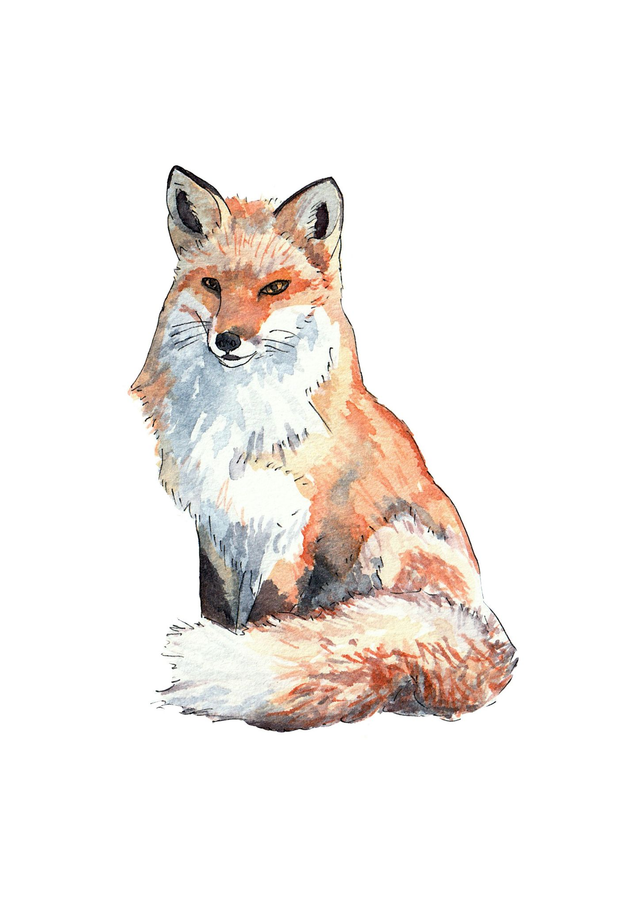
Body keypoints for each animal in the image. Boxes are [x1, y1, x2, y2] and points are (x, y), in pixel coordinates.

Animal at [131, 166, 516, 731]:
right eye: (212, 285)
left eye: (274, 288)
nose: (227, 340)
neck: (239, 417)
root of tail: (490, 646)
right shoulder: (217, 520)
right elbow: (217, 606)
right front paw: (225, 641)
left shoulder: (291, 521)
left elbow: (270, 613)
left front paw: (249, 658)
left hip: (394, 540)